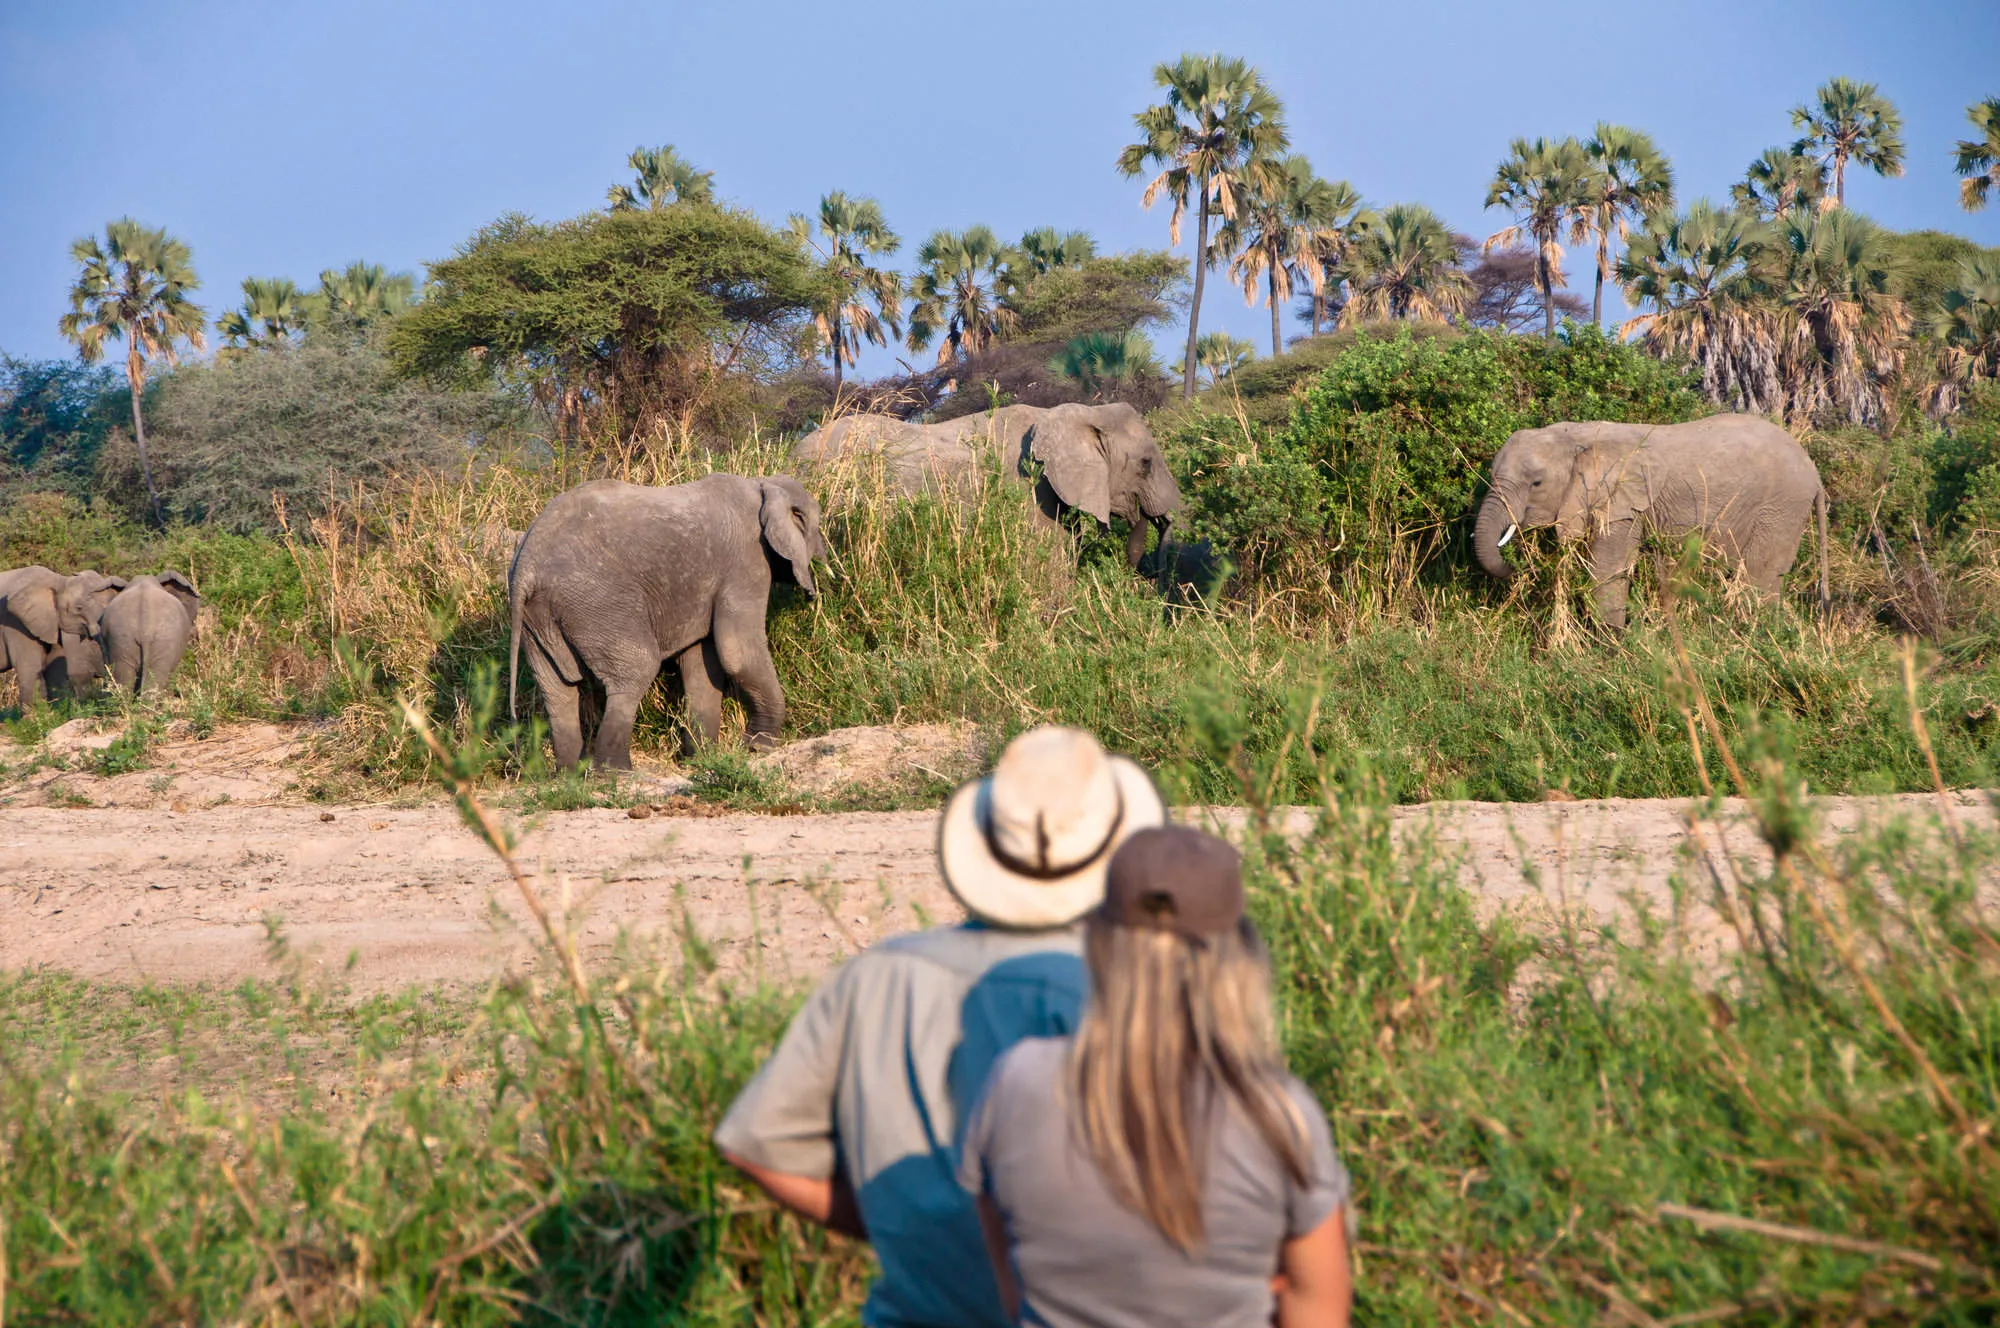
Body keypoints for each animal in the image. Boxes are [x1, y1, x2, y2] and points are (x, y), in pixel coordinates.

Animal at [508, 473, 827, 771]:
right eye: (817, 525)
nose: (824, 554)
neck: (763, 484)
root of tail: (527, 564)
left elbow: (702, 663)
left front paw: (703, 758)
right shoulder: (747, 559)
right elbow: (736, 651)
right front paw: (758, 747)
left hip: (538, 618)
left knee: (557, 689)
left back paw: (571, 774)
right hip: (595, 599)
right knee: (637, 668)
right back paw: (616, 772)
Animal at [1472, 414, 1829, 630]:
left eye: (1536, 483)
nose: (1516, 566)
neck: (1576, 435)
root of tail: (1814, 471)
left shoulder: (1624, 501)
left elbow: (1607, 569)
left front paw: (1609, 644)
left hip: (1781, 508)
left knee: (1758, 577)